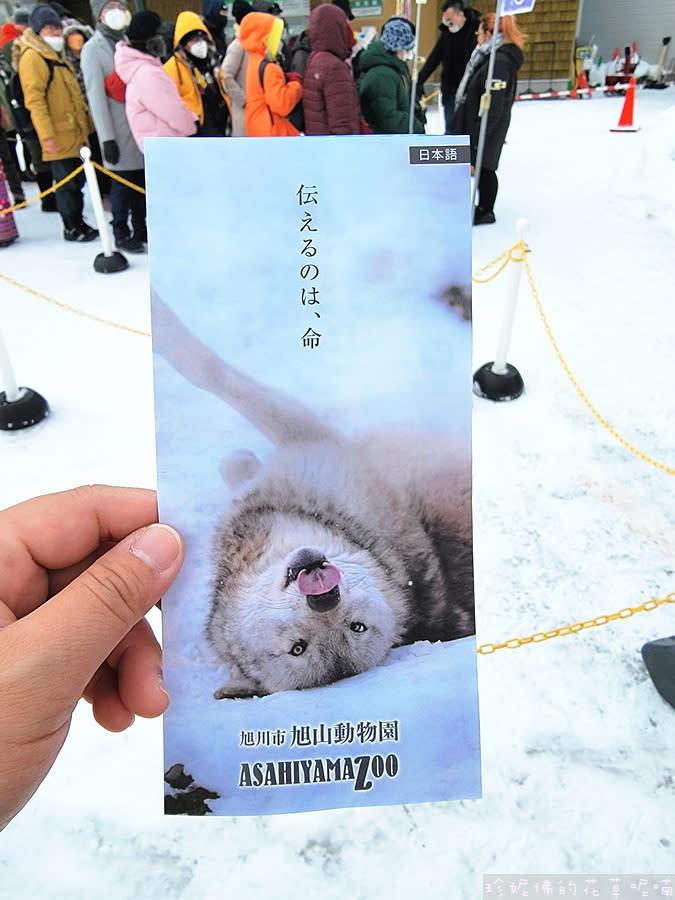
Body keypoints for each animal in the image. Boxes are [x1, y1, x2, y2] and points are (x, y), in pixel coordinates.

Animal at [147, 134, 480, 816]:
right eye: (299, 649)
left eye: (354, 627)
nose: (320, 592)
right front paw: (237, 462)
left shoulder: (313, 437)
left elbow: (210, 371)